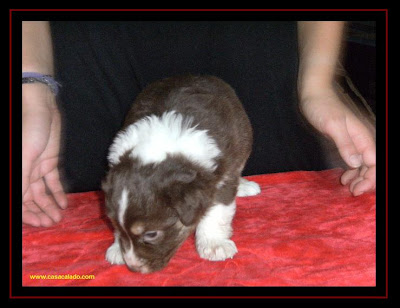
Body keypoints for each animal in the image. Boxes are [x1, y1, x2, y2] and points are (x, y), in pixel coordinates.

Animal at [101, 76, 260, 274]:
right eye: (114, 225)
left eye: (151, 234)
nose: (134, 268)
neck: (158, 146)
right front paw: (117, 248)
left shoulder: (223, 178)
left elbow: (217, 213)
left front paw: (214, 245)